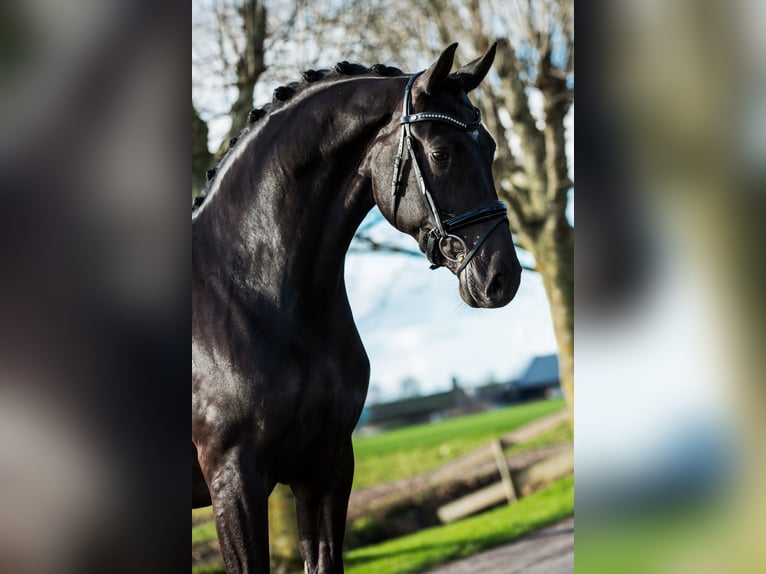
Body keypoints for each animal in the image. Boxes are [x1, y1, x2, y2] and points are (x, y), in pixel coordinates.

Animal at [192, 43, 522, 573]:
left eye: (490, 146)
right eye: (440, 153)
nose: (502, 277)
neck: (252, 293)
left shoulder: (325, 467)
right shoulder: (234, 480)